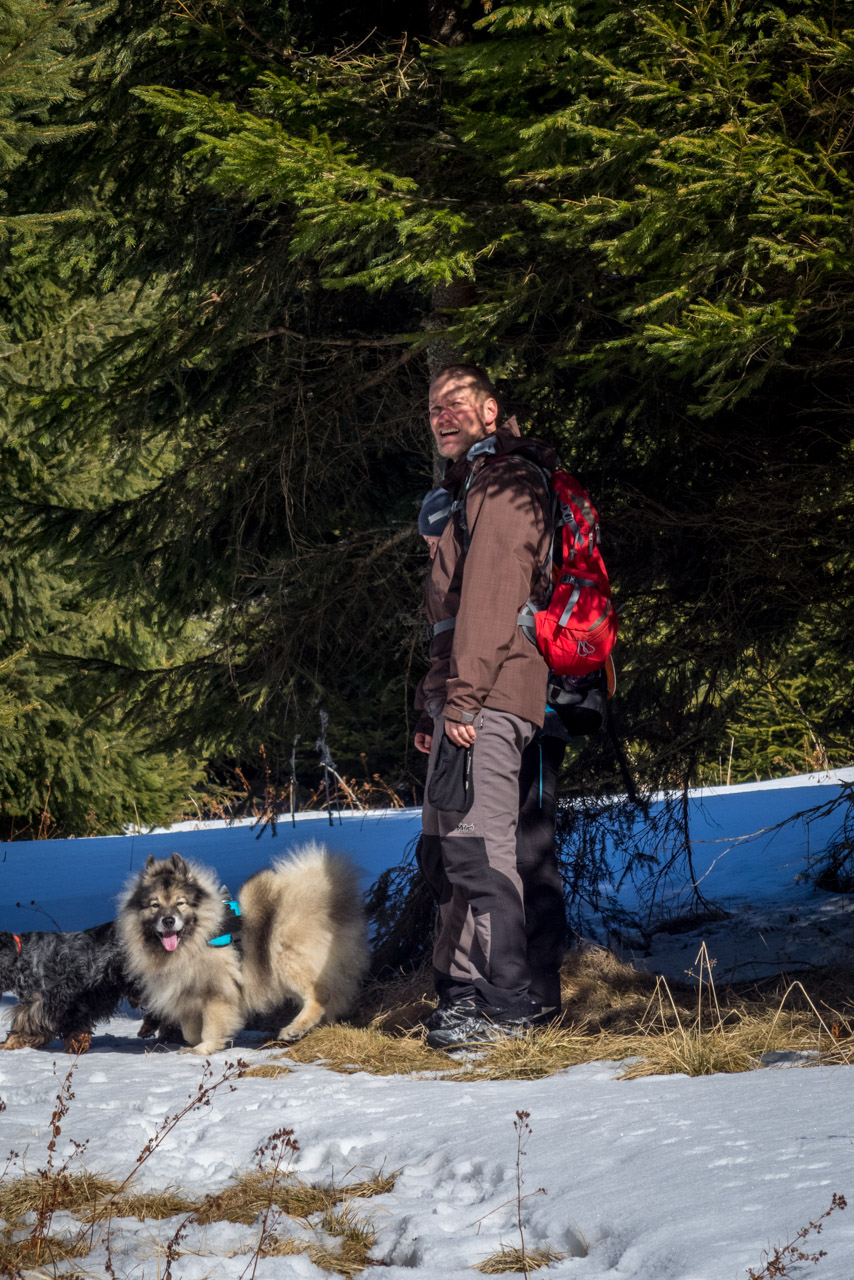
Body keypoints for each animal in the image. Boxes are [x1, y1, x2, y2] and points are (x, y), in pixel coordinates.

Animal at [115, 844, 368, 1054]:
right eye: (154, 905)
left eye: (180, 903)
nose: (168, 921)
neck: (196, 938)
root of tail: (331, 901)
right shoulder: (190, 993)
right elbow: (190, 1029)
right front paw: (194, 1043)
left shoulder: (216, 993)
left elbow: (211, 1026)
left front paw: (204, 1048)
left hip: (285, 959)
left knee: (319, 996)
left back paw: (294, 1028)